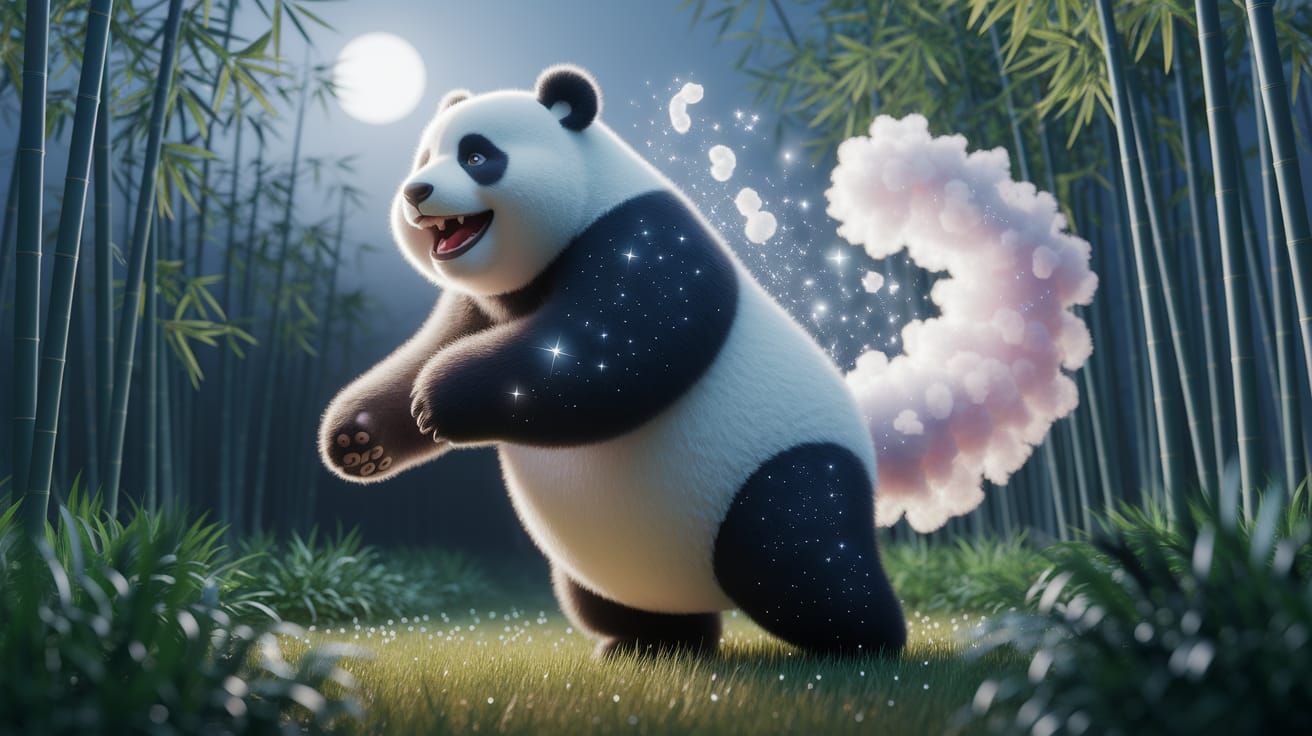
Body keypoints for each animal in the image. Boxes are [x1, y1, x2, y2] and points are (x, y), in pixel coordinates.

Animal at [319, 65, 906, 657]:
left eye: (477, 155)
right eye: (424, 157)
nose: (416, 191)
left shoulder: (641, 239)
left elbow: (606, 355)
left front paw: (438, 397)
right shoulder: (483, 300)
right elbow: (425, 348)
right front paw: (358, 440)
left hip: (785, 469)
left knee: (796, 553)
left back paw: (868, 639)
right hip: (609, 568)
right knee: (619, 602)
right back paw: (651, 643)